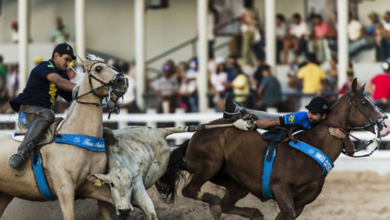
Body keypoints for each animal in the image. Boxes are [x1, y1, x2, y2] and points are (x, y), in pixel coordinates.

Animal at [0, 55, 133, 220]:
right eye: (98, 68)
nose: (123, 81)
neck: (80, 134)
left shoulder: (89, 186)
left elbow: (112, 202)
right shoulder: (64, 188)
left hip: (4, 194)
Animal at [157, 79, 388, 220]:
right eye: (363, 102)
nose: (384, 123)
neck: (313, 145)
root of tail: (194, 136)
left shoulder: (300, 203)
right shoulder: (280, 188)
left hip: (236, 183)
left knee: (227, 204)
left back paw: (250, 212)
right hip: (209, 164)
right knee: (191, 191)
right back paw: (214, 202)